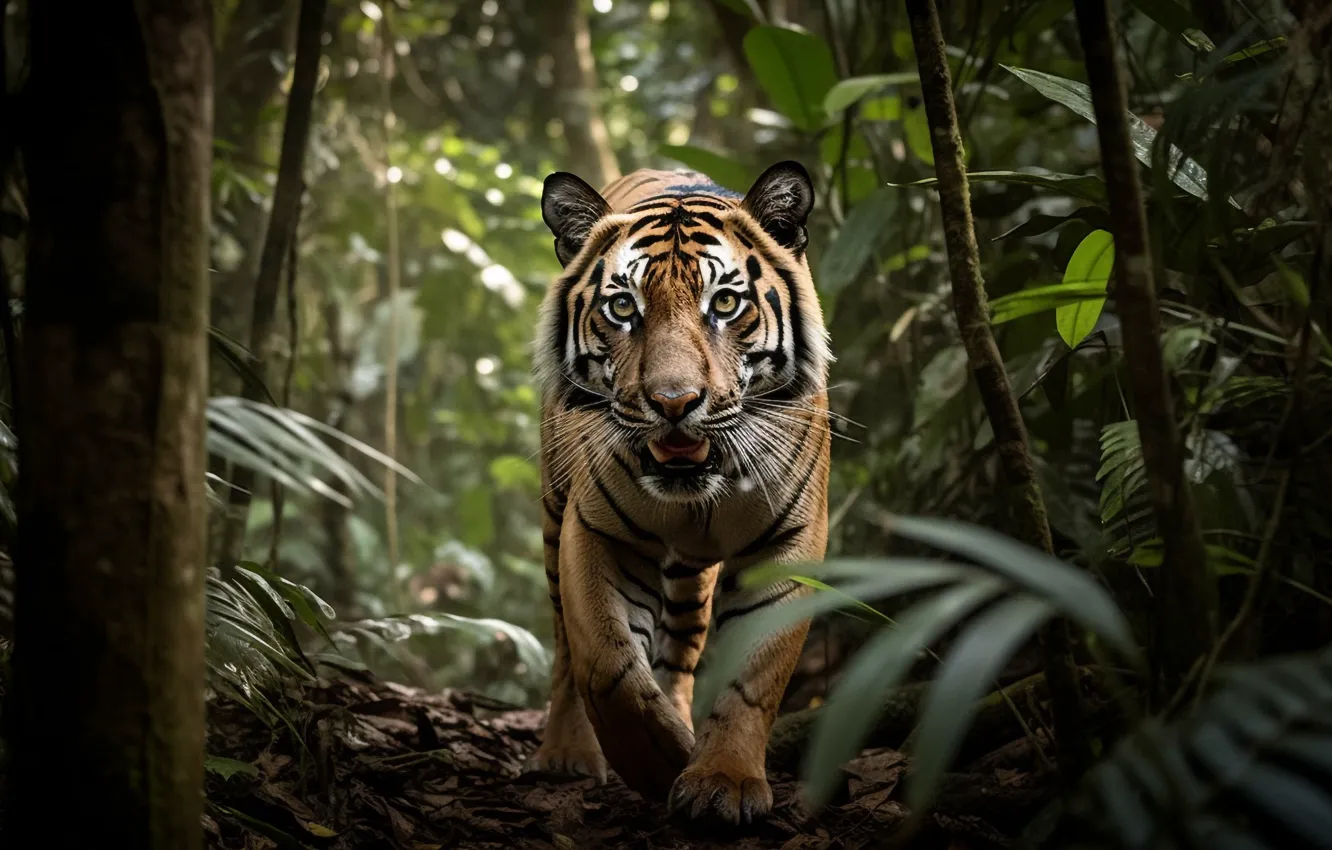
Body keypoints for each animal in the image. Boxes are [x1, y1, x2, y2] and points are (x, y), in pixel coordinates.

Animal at [525, 161, 832, 825]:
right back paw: (566, 755)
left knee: (681, 653)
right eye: (622, 306)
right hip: (554, 512)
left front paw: (722, 779)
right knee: (565, 645)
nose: (673, 403)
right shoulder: (596, 528)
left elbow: (752, 677)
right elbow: (607, 663)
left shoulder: (789, 542)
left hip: (691, 576)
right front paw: (658, 763)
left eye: (725, 303)